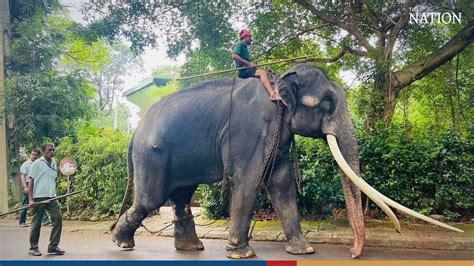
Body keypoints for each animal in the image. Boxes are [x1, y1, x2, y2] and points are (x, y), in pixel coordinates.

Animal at [110, 63, 460, 258]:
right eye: (328, 101)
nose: (353, 253)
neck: (278, 81)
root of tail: (135, 129)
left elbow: (282, 184)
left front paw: (304, 250)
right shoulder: (251, 129)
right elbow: (249, 181)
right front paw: (242, 253)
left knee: (181, 197)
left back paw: (191, 249)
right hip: (152, 154)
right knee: (151, 199)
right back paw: (122, 243)